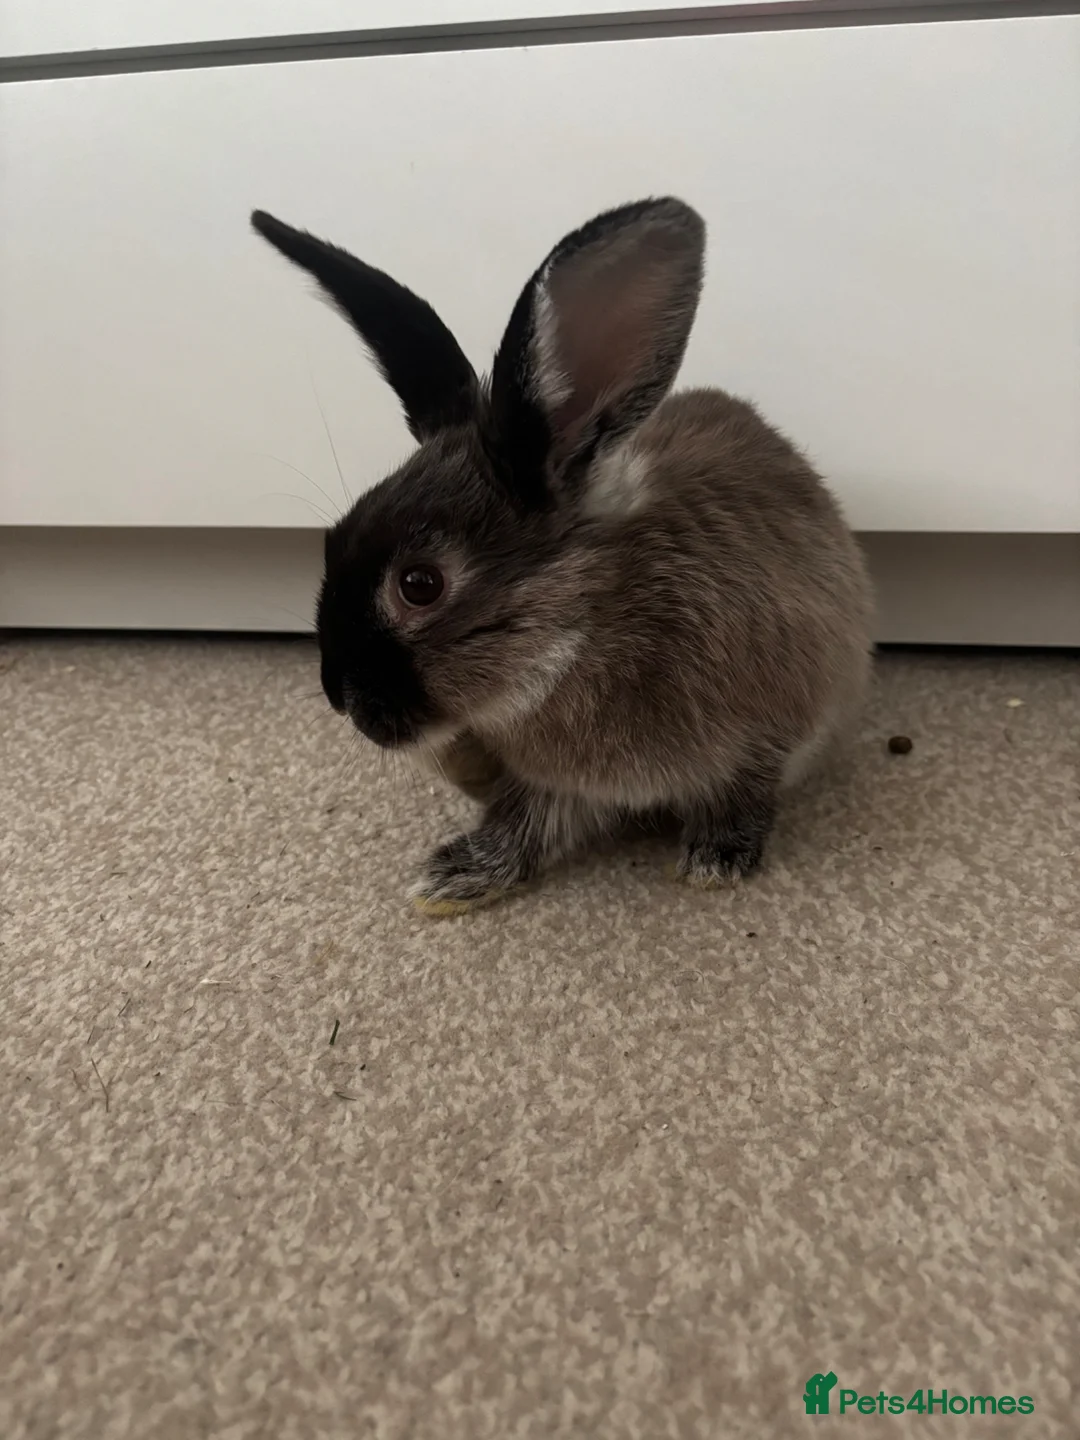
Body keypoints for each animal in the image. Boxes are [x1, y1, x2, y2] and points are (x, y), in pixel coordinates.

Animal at [251, 197, 873, 914]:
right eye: (333, 537)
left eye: (419, 584)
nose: (337, 694)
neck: (578, 633)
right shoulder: (552, 784)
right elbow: (522, 825)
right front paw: (455, 879)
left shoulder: (765, 737)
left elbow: (743, 796)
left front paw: (715, 863)